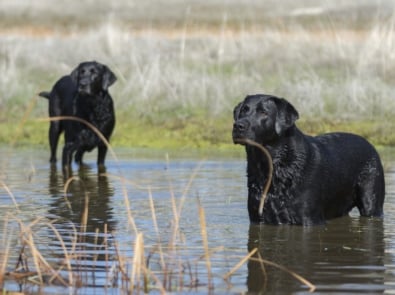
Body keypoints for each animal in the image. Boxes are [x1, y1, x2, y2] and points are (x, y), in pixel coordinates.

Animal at [234, 95, 386, 227]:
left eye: (263, 113)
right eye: (243, 111)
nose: (238, 126)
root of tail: (370, 144)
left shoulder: (310, 219)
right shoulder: (257, 218)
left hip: (371, 202)